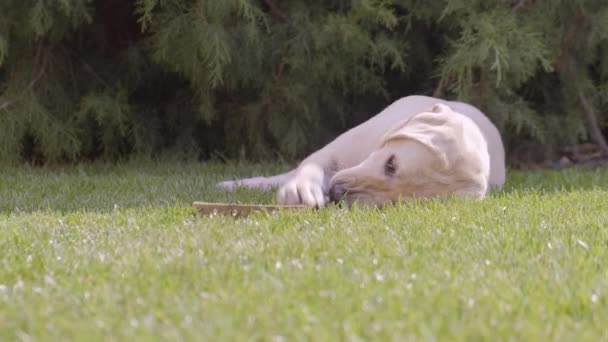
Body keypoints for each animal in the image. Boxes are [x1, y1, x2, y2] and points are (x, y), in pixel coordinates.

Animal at [216, 93, 506, 207]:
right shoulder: (336, 150)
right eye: (390, 164)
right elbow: (310, 165)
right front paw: (300, 190)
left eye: (397, 202)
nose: (337, 194)